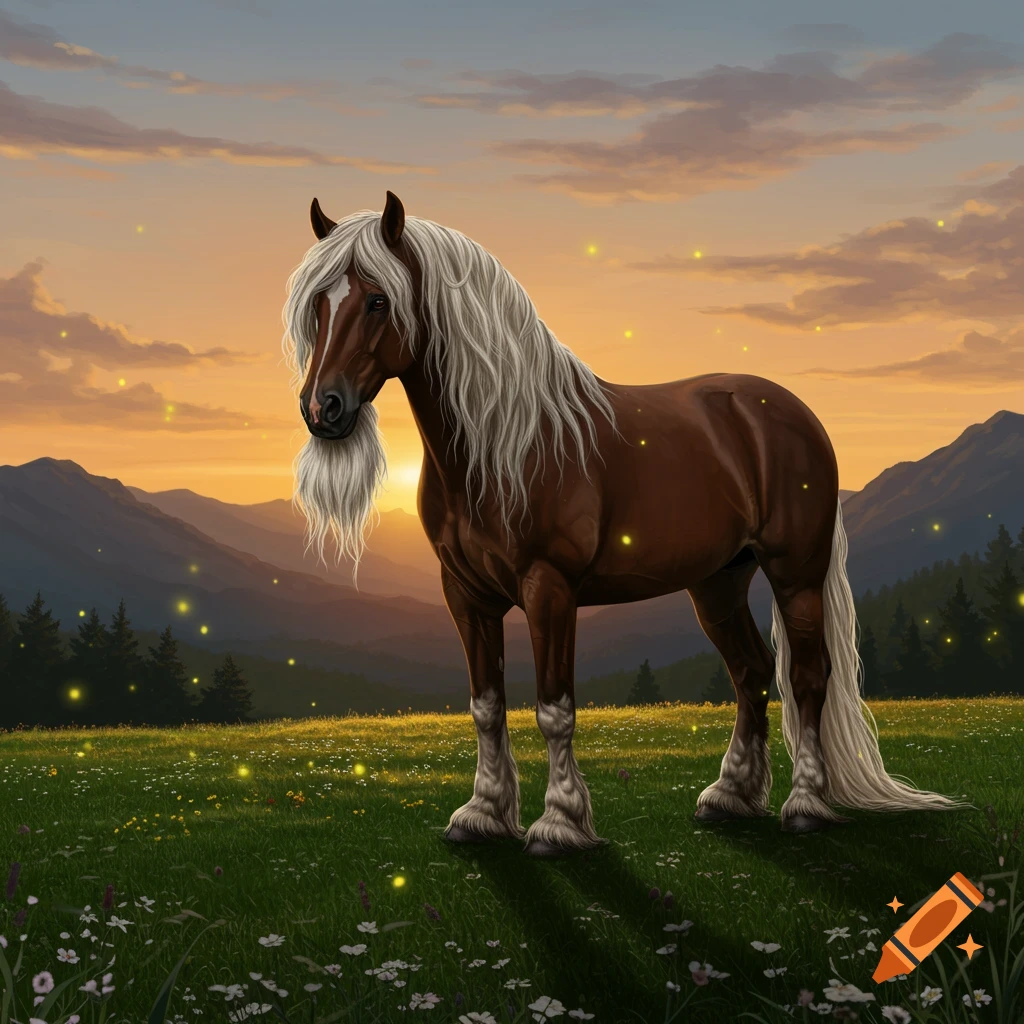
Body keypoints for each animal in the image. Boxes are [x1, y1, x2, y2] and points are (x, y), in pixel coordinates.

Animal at [282, 191, 960, 857]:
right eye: (318, 302)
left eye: (377, 300)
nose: (323, 408)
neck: (502, 446)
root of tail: (793, 412)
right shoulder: (466, 594)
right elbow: (486, 705)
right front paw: (481, 815)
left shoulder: (549, 589)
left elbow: (554, 709)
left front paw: (559, 825)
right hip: (718, 583)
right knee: (751, 672)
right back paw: (729, 797)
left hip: (796, 574)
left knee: (806, 676)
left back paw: (805, 806)